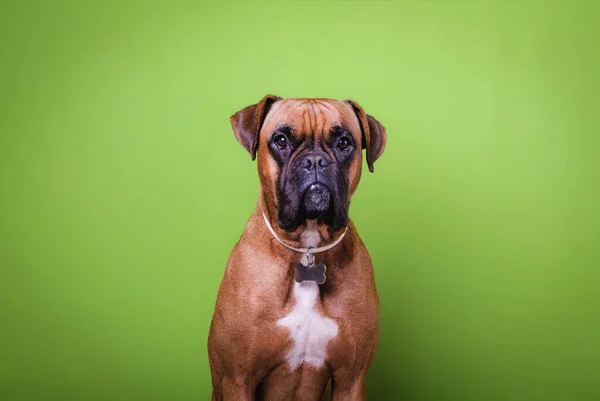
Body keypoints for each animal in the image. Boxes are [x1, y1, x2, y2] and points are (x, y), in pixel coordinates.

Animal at [210, 95, 390, 398]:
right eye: (281, 140)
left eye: (344, 142)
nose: (315, 161)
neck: (307, 248)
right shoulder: (238, 380)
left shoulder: (350, 380)